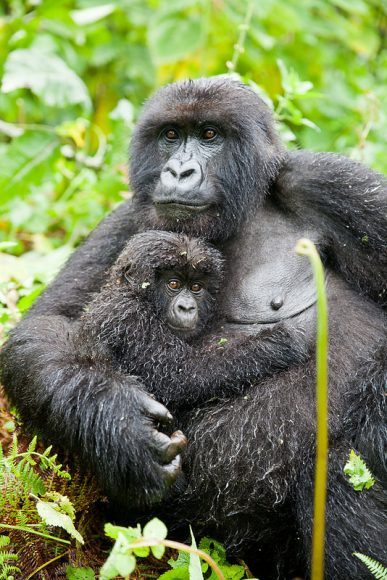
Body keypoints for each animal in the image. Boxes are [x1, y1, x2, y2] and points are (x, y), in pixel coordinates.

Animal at [76, 229, 306, 410]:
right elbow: (182, 376)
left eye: (196, 287)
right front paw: (278, 342)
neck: (129, 291)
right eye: (174, 284)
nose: (186, 307)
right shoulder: (129, 316)